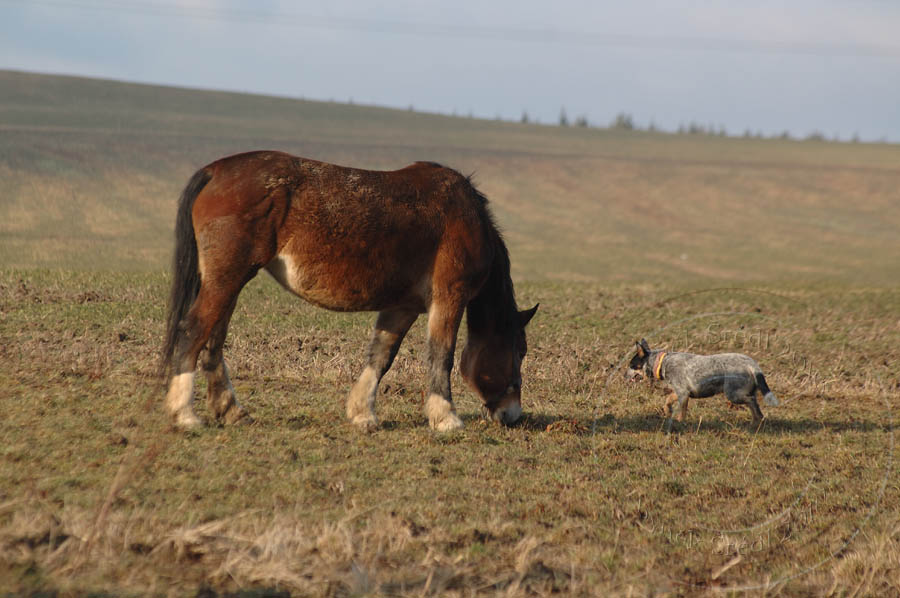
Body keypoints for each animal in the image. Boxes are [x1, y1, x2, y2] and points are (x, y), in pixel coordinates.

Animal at [159, 150, 536, 432]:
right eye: (519, 350)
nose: (512, 414)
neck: (466, 217)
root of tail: (215, 171)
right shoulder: (449, 296)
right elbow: (440, 354)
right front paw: (446, 417)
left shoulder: (403, 306)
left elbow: (381, 356)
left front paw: (362, 413)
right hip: (227, 279)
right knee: (193, 331)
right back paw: (185, 415)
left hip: (227, 282)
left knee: (213, 340)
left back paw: (231, 411)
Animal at [624, 340, 780, 428]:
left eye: (631, 365)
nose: (623, 375)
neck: (662, 363)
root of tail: (752, 364)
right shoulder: (682, 391)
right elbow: (668, 400)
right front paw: (667, 411)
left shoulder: (683, 394)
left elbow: (682, 412)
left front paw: (680, 422)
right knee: (756, 407)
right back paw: (756, 422)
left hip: (733, 395)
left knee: (752, 402)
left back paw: (756, 422)